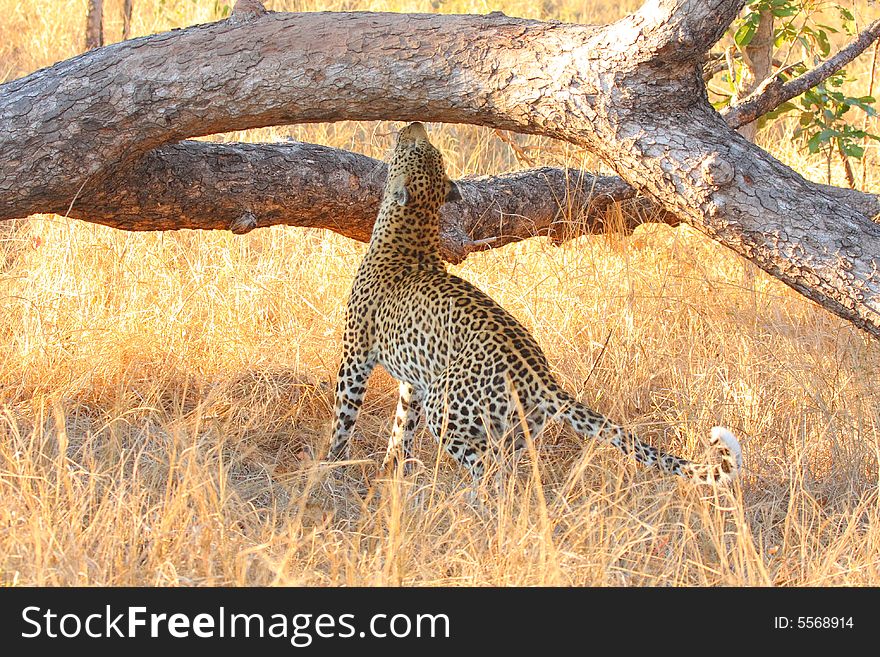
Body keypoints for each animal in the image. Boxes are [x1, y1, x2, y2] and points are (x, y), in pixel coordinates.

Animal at [326, 120, 740, 484]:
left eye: (416, 149)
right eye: (427, 152)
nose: (413, 124)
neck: (414, 228)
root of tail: (541, 376)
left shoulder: (357, 355)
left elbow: (344, 416)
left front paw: (330, 468)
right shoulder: (415, 382)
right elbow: (401, 429)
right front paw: (391, 473)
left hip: (448, 408)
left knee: (487, 471)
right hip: (510, 428)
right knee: (506, 471)